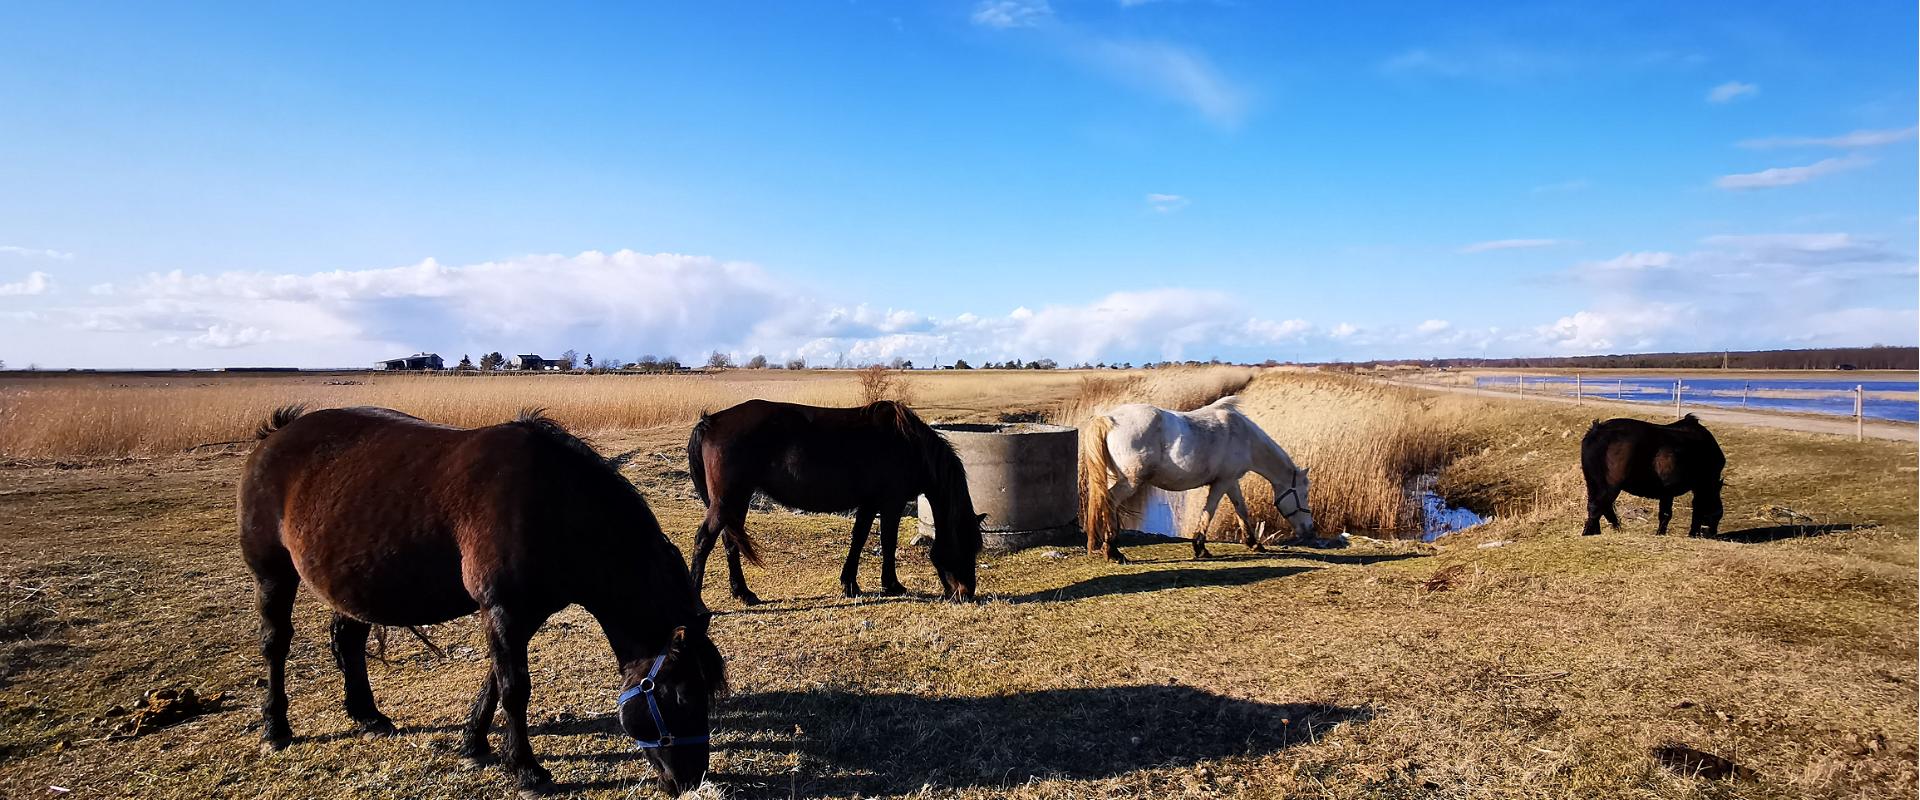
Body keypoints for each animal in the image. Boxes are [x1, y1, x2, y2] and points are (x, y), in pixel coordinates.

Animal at [234, 408, 725, 794]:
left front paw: (475, 744)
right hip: (273, 575)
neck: (555, 503)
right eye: (682, 697)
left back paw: (368, 716)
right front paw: (526, 770)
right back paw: (275, 728)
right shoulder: (504, 610)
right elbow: (514, 688)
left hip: (355, 584)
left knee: (348, 641)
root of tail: (275, 434)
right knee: (275, 644)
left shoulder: (519, 614)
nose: (690, 779)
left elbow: (495, 681)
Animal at [687, 399, 983, 606]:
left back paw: (744, 593)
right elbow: (888, 541)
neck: (908, 445)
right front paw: (892, 585)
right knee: (704, 540)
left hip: (737, 500)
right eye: (966, 546)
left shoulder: (869, 503)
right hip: (728, 500)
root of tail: (711, 421)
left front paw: (850, 584)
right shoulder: (891, 502)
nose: (966, 592)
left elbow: (859, 538)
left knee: (729, 541)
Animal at [1082, 395, 1320, 560]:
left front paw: (1254, 543)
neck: (1244, 437)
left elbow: (1241, 510)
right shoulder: (1221, 482)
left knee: (1107, 504)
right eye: (1304, 494)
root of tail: (1110, 418)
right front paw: (1200, 547)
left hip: (1115, 478)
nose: (1309, 529)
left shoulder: (1231, 481)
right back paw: (1113, 552)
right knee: (1110, 501)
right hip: (1130, 482)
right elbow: (1209, 511)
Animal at [1582, 410, 1735, 537]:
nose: (1713, 533)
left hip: (1593, 482)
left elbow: (1667, 513)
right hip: (1611, 485)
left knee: (1598, 506)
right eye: (1718, 514)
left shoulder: (1667, 492)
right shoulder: (1674, 490)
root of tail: (1598, 430)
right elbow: (1671, 513)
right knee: (1598, 506)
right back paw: (1590, 532)